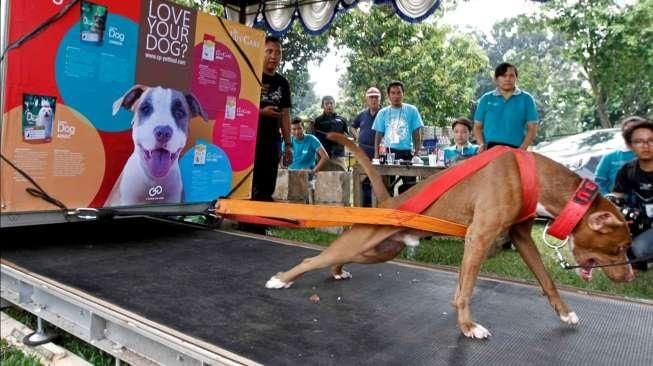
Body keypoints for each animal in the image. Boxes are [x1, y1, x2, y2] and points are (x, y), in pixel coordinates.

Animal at [264, 133, 632, 338]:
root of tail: (390, 202)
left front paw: (565, 312)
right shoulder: (479, 237)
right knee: (312, 258)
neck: (533, 176)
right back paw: (281, 279)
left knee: (336, 260)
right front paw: (468, 327)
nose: (630, 276)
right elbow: (466, 290)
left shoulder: (522, 239)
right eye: (621, 247)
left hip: (378, 250)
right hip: (363, 241)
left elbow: (546, 280)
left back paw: (337, 272)